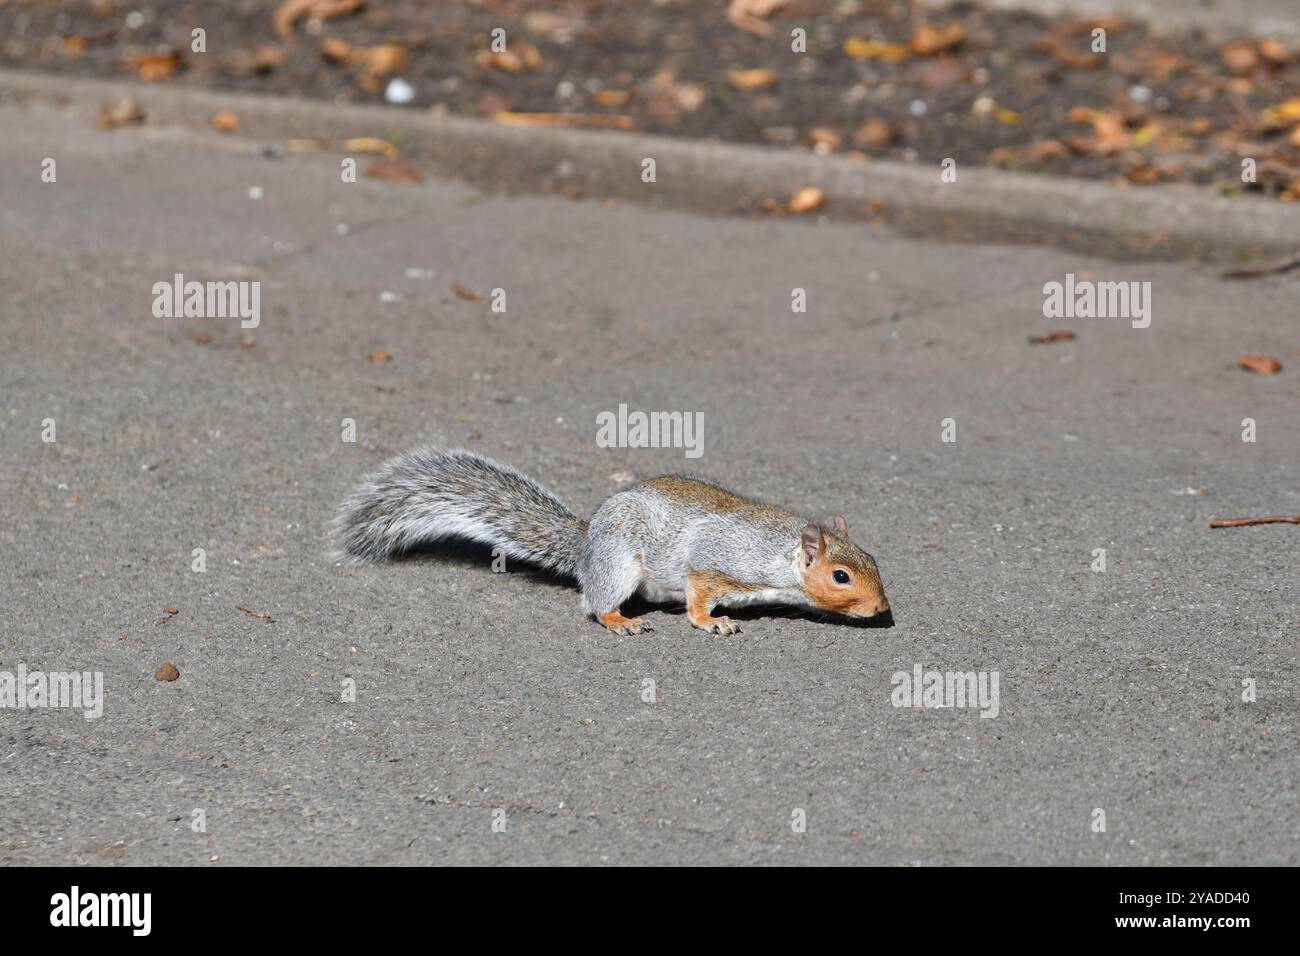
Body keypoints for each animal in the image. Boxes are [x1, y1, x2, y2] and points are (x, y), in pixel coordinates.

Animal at [334, 448, 891, 634]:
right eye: (841, 575)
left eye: (874, 560)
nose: (881, 611)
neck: (778, 553)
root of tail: (586, 548)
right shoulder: (715, 563)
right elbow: (698, 594)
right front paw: (712, 623)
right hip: (621, 566)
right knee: (595, 603)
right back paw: (620, 620)